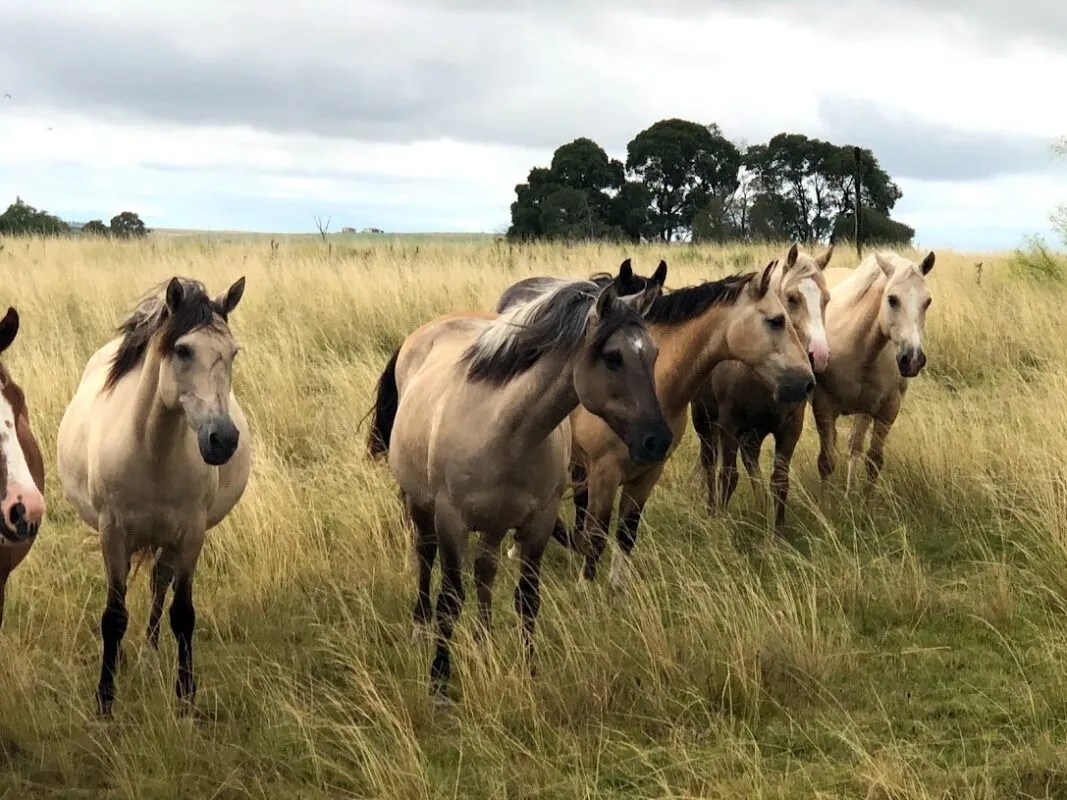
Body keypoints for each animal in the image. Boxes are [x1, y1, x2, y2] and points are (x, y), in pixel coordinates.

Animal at [56, 276, 252, 717]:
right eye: (183, 350)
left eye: (232, 353)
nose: (222, 440)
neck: (151, 449)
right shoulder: (112, 532)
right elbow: (113, 616)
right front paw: (105, 702)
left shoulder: (192, 534)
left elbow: (183, 613)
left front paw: (186, 699)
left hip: (170, 540)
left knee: (160, 583)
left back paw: (148, 655)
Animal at [366, 275, 672, 700]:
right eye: (613, 357)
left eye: (654, 354)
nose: (657, 441)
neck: (504, 429)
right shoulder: (451, 521)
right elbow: (450, 600)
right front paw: (439, 683)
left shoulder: (538, 523)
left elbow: (527, 599)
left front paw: (529, 674)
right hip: (420, 505)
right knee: (426, 559)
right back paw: (420, 628)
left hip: (495, 523)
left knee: (485, 571)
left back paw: (484, 641)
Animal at [690, 244, 834, 529]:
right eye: (792, 298)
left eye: (826, 299)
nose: (819, 355)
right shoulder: (729, 423)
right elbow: (728, 476)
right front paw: (719, 520)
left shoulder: (790, 427)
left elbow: (780, 481)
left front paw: (776, 530)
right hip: (703, 419)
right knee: (709, 462)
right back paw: (711, 507)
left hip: (754, 431)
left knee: (750, 459)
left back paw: (759, 506)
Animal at [810, 250, 935, 492]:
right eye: (892, 299)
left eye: (927, 301)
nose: (913, 359)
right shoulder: (823, 407)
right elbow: (826, 462)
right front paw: (824, 500)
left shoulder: (887, 410)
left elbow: (873, 461)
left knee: (854, 446)